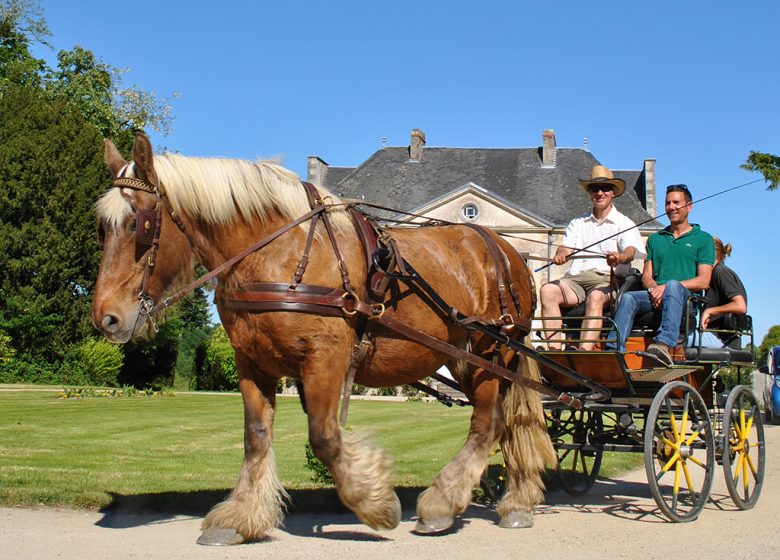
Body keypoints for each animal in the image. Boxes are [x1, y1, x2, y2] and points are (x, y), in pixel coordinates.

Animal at [91, 133, 556, 544]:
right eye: (101, 228)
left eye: (139, 224)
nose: (106, 319)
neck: (274, 253)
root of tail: (504, 249)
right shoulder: (252, 362)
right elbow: (256, 437)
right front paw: (241, 516)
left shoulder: (326, 358)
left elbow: (325, 437)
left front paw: (374, 502)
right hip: (466, 357)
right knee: (508, 421)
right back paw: (516, 500)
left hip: (492, 351)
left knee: (488, 422)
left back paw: (444, 504)